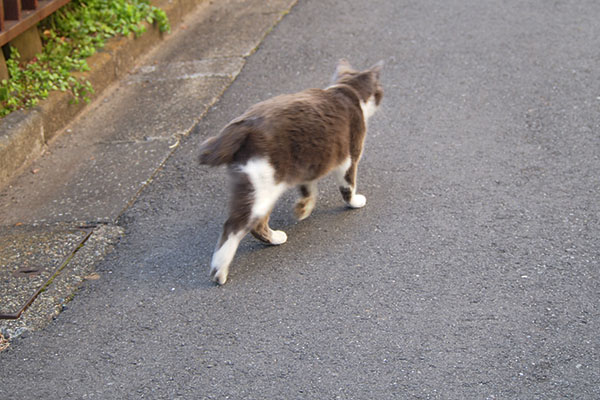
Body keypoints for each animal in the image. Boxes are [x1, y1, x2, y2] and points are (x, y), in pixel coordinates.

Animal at [199, 59, 382, 284]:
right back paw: (221, 271)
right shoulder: (349, 157)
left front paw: (303, 209)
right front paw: (355, 202)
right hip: (263, 189)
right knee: (236, 227)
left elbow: (308, 190)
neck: (346, 90)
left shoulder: (307, 165)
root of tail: (242, 127)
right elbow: (348, 186)